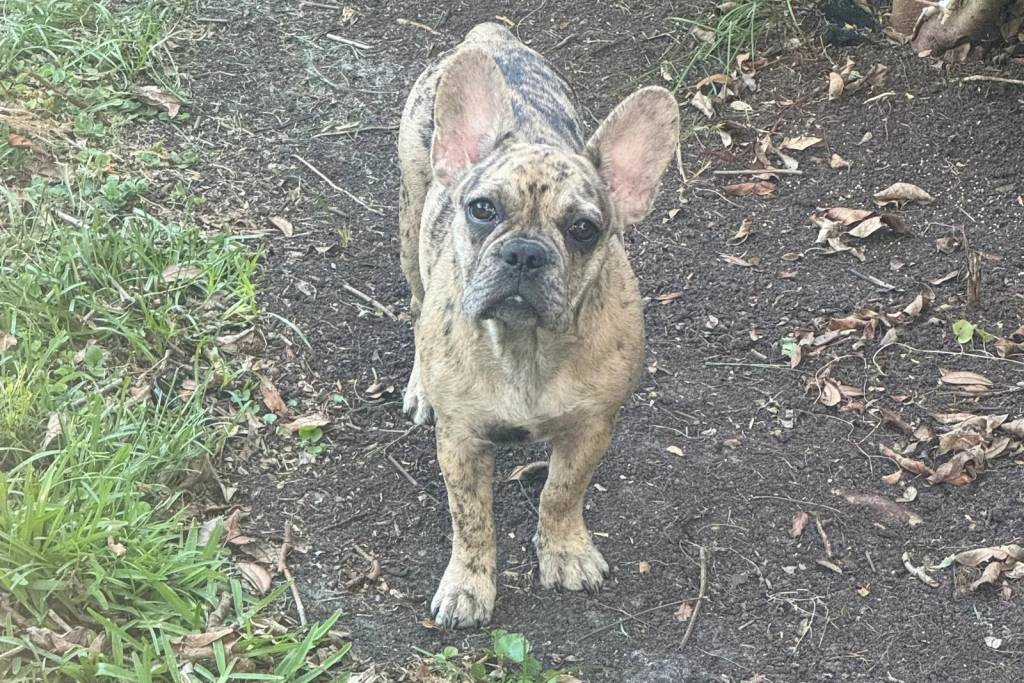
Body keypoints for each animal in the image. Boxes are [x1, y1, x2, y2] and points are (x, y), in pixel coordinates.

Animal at [397, 22, 679, 628]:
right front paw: (468, 584)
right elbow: (471, 518)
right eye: (481, 209)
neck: (525, 347)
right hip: (411, 221)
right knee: (416, 301)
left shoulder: (591, 429)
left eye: (583, 230)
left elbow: (561, 493)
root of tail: (490, 35)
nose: (525, 253)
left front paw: (565, 551)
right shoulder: (460, 441)